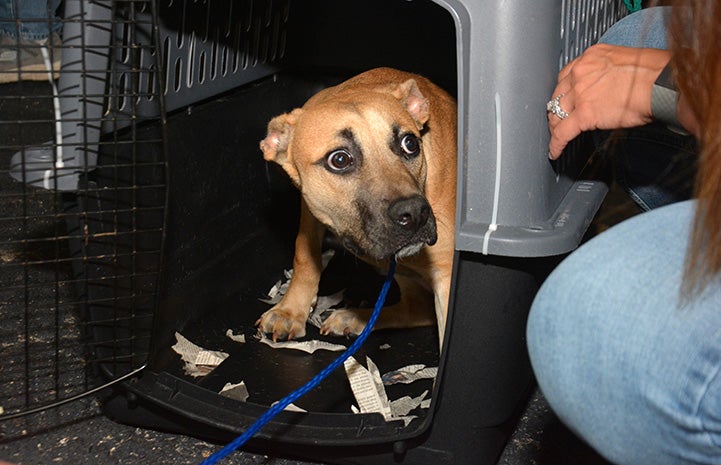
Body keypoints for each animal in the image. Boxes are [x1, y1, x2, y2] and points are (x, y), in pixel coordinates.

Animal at [256, 68, 452, 344]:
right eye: (339, 159)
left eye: (410, 144)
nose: (415, 214)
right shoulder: (310, 212)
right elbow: (304, 256)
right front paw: (290, 309)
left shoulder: (446, 277)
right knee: (416, 307)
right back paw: (356, 318)